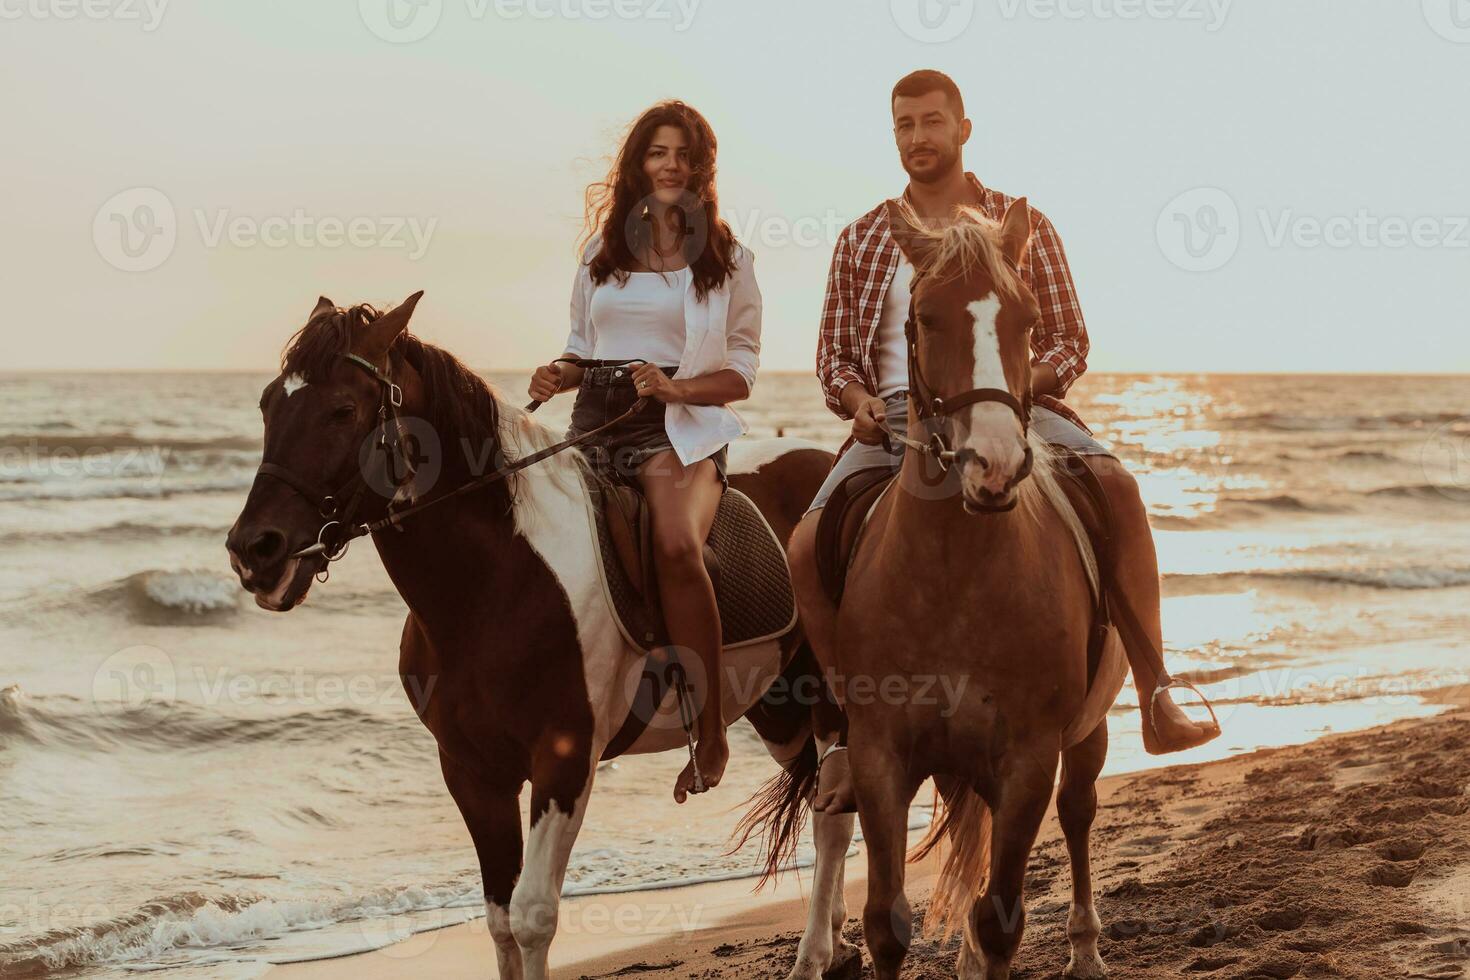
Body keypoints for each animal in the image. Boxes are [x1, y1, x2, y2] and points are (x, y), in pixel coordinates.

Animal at [223, 296, 858, 980]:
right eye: (267, 403)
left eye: (343, 408)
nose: (254, 550)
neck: (494, 586)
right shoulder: (472, 771)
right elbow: (500, 920)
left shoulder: (564, 759)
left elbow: (533, 916)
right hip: (778, 711)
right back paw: (839, 940)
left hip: (827, 698)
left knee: (833, 819)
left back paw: (813, 956)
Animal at [829, 201, 1123, 980]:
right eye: (927, 318)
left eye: (1027, 319)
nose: (993, 463)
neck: (952, 580)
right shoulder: (879, 755)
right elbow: (885, 923)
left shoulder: (1028, 759)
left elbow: (999, 921)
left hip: (1085, 736)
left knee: (1079, 811)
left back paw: (1085, 946)